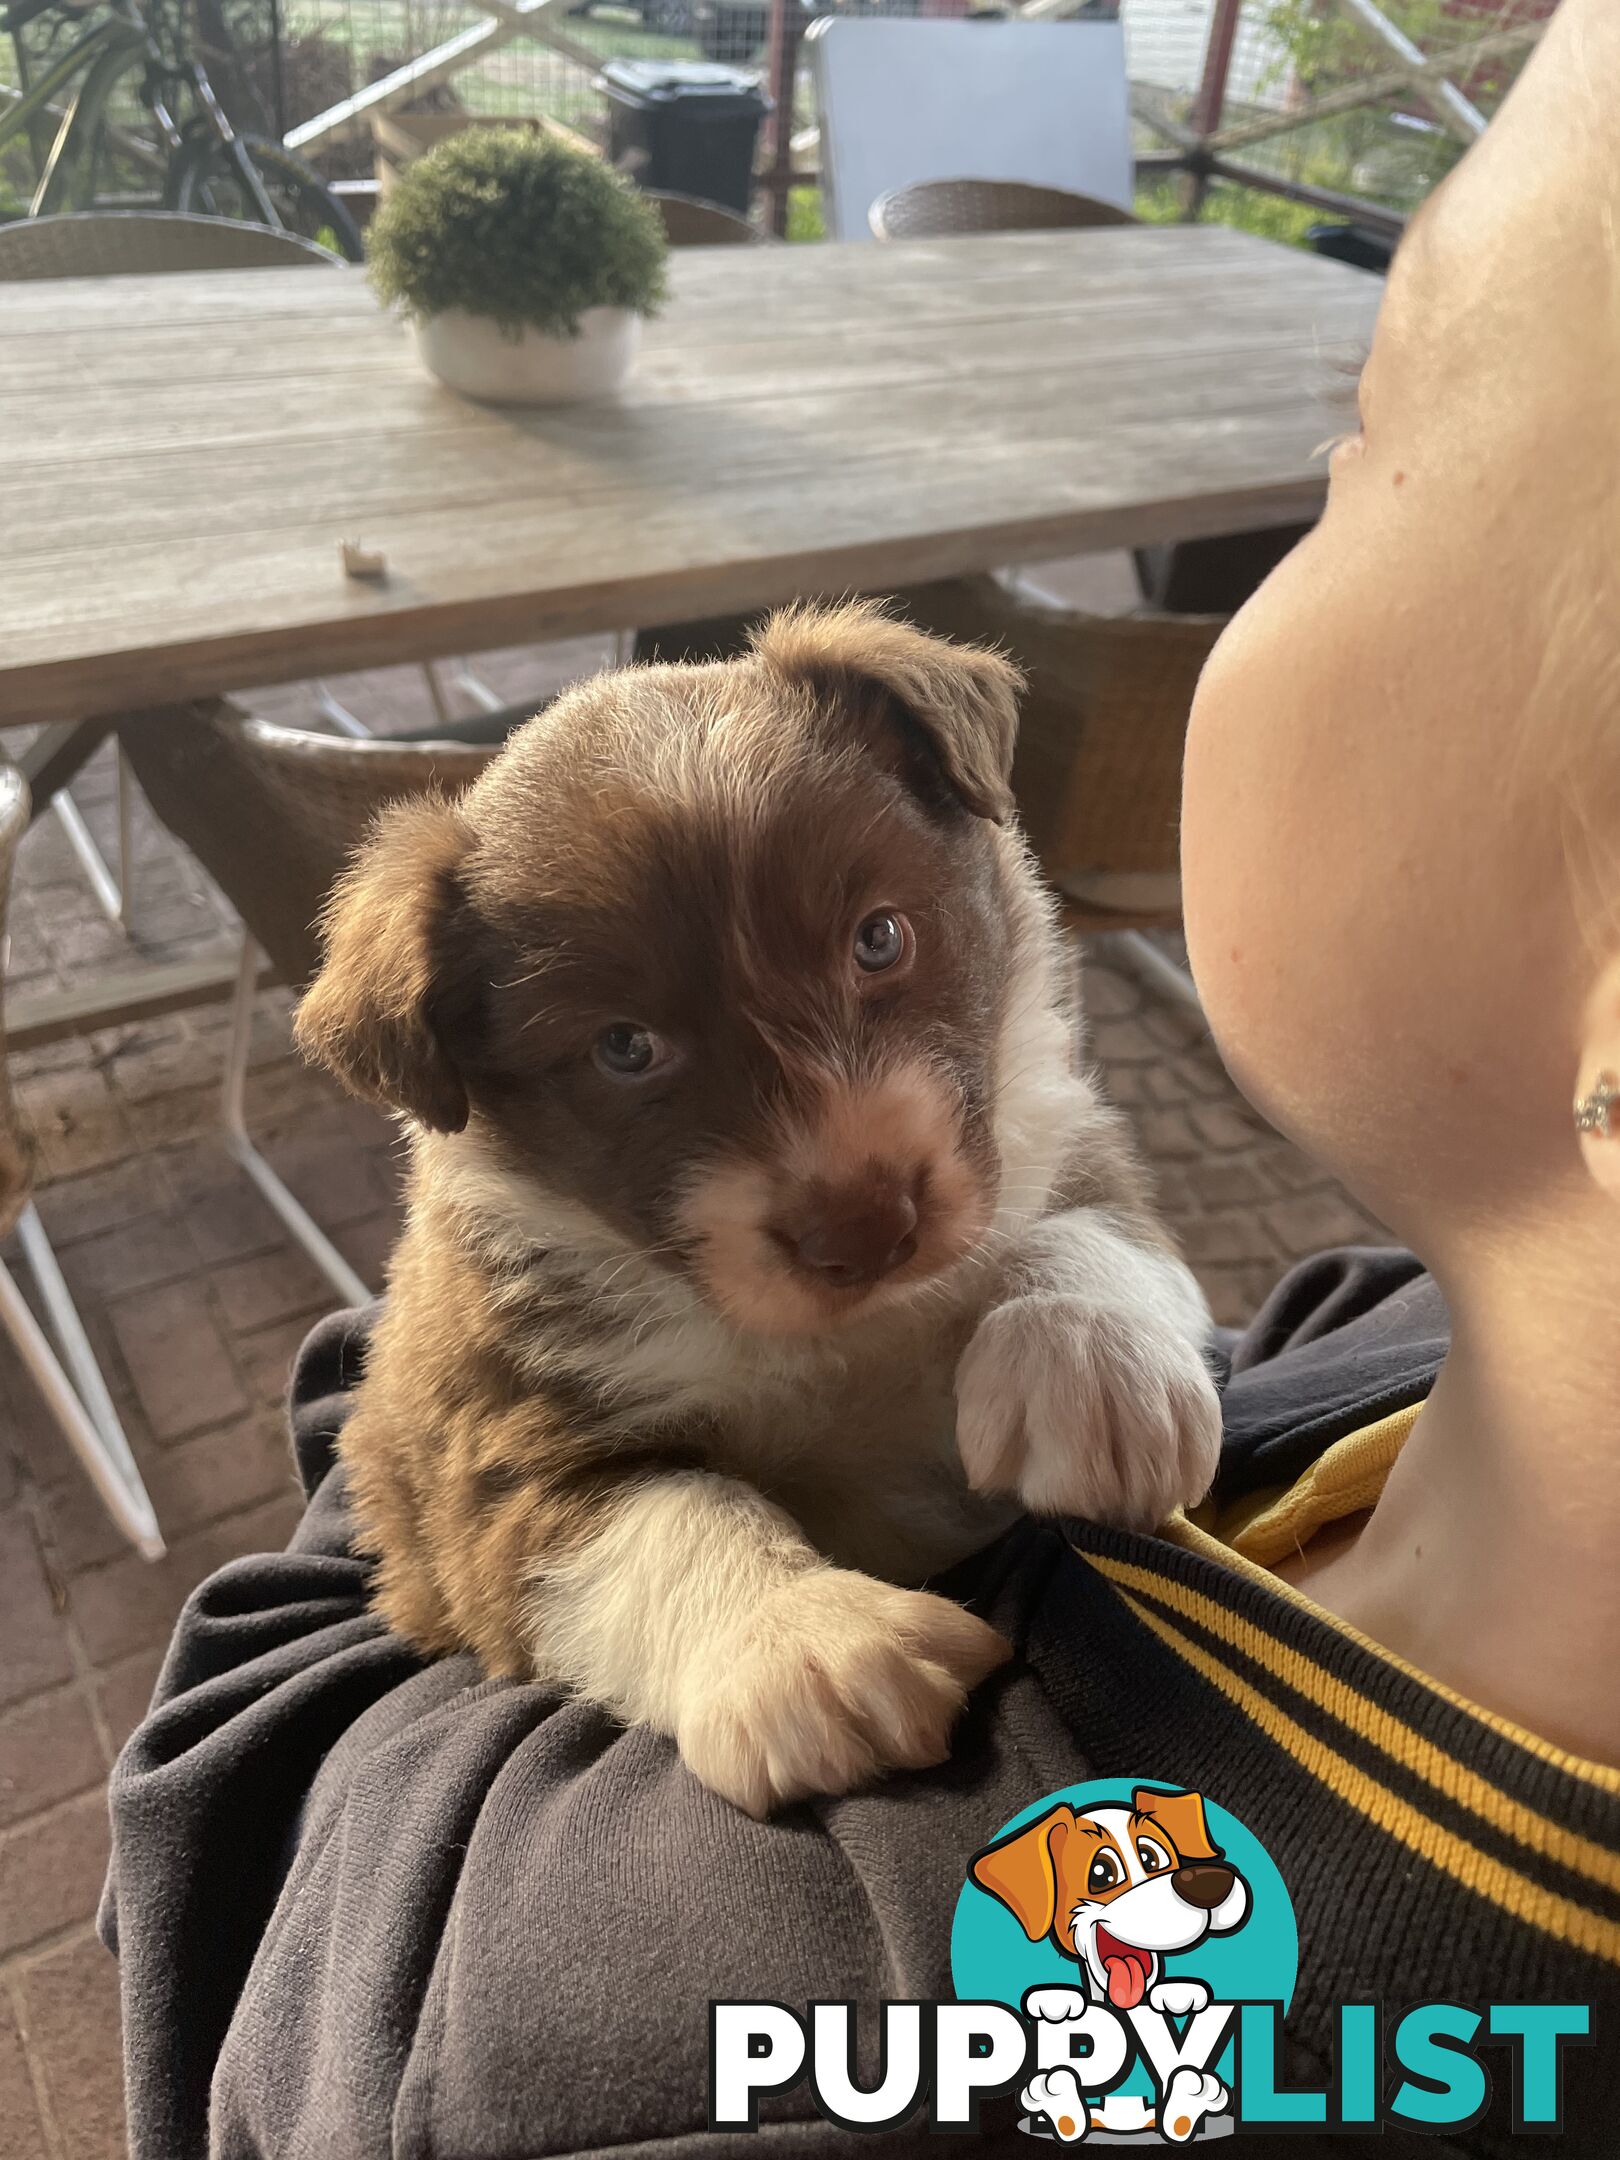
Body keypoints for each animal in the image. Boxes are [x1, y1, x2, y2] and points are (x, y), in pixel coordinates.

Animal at [298, 600, 1226, 1814]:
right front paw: (811, 1640)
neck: (839, 1343)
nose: (868, 1228)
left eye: (880, 937)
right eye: (626, 1047)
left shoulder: (1053, 1133)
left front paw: (1089, 1365)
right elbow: (664, 1513)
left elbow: (1086, 1226)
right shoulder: (485, 1470)